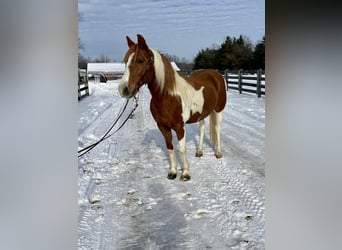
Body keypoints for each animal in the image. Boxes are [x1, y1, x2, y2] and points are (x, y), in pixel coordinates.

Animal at [118, 34, 227, 181]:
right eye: (125, 61)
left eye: (140, 60)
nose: (123, 89)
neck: (167, 96)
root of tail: (216, 74)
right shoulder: (163, 126)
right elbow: (170, 148)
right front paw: (173, 172)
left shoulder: (179, 127)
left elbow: (181, 149)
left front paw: (185, 173)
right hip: (201, 113)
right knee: (202, 127)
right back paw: (199, 151)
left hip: (218, 110)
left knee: (217, 129)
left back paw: (218, 153)